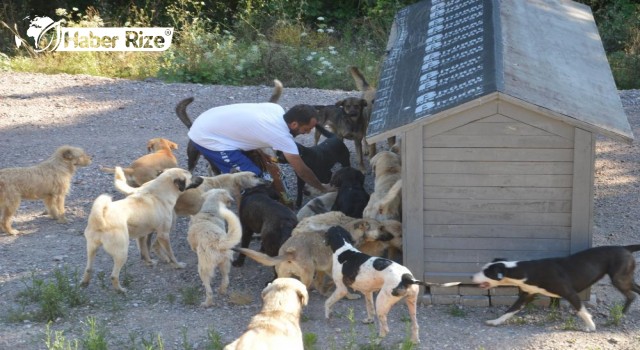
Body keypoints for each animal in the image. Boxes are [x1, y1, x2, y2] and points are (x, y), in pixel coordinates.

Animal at [324, 226, 460, 344]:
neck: (343, 249)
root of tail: (408, 278)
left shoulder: (341, 289)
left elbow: (327, 302)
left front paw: (327, 315)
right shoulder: (368, 292)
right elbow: (370, 309)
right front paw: (369, 320)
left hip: (381, 303)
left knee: (385, 330)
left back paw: (376, 341)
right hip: (411, 304)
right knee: (415, 325)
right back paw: (414, 341)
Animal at [470, 245, 640, 332]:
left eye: (486, 273)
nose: (471, 277)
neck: (525, 271)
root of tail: (625, 247)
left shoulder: (570, 293)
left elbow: (581, 311)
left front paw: (591, 326)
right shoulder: (526, 296)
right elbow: (510, 311)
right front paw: (495, 322)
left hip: (619, 279)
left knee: (632, 295)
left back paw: (622, 313)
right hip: (624, 278)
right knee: (634, 293)